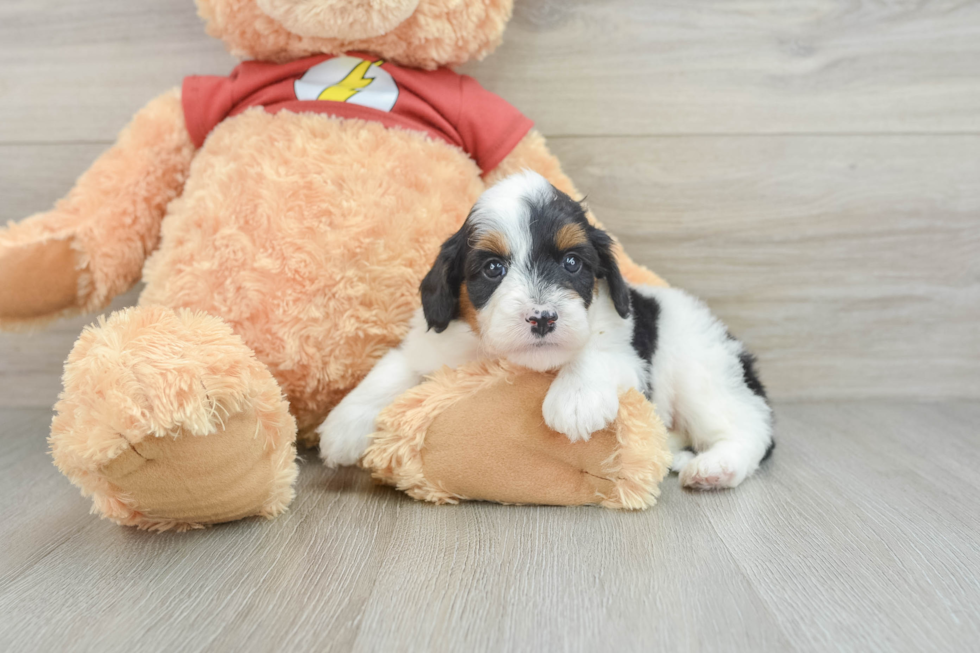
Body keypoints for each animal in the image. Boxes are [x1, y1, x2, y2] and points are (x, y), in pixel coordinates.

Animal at [320, 171, 772, 486]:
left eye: (572, 263)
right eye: (493, 268)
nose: (543, 318)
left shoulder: (629, 357)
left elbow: (595, 353)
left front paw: (574, 399)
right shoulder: (432, 347)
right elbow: (395, 367)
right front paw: (344, 426)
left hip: (702, 373)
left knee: (750, 425)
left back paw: (715, 467)